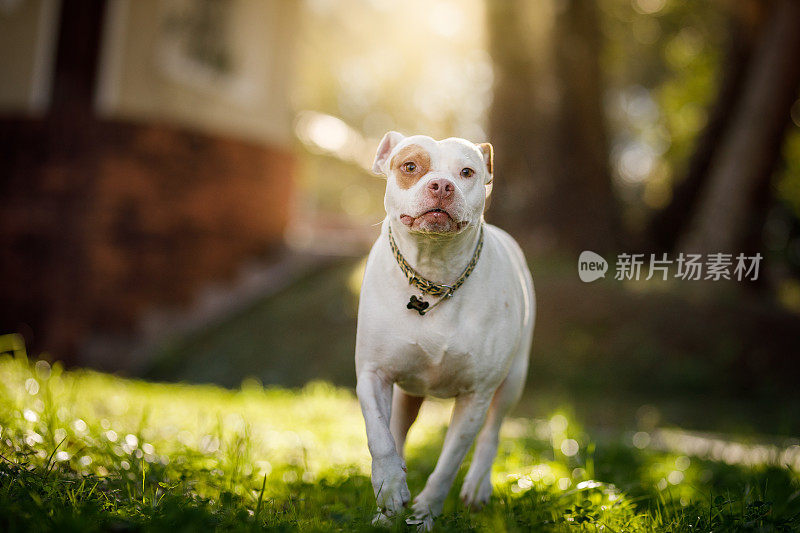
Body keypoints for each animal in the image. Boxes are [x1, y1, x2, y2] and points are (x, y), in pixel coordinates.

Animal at [354, 132, 532, 528]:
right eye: (410, 166)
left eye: (466, 172)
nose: (442, 185)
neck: (432, 276)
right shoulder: (374, 374)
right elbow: (380, 436)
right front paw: (390, 489)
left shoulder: (476, 396)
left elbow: (450, 461)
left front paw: (425, 513)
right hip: (407, 391)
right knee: (398, 429)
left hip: (513, 380)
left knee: (492, 434)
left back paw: (478, 485)